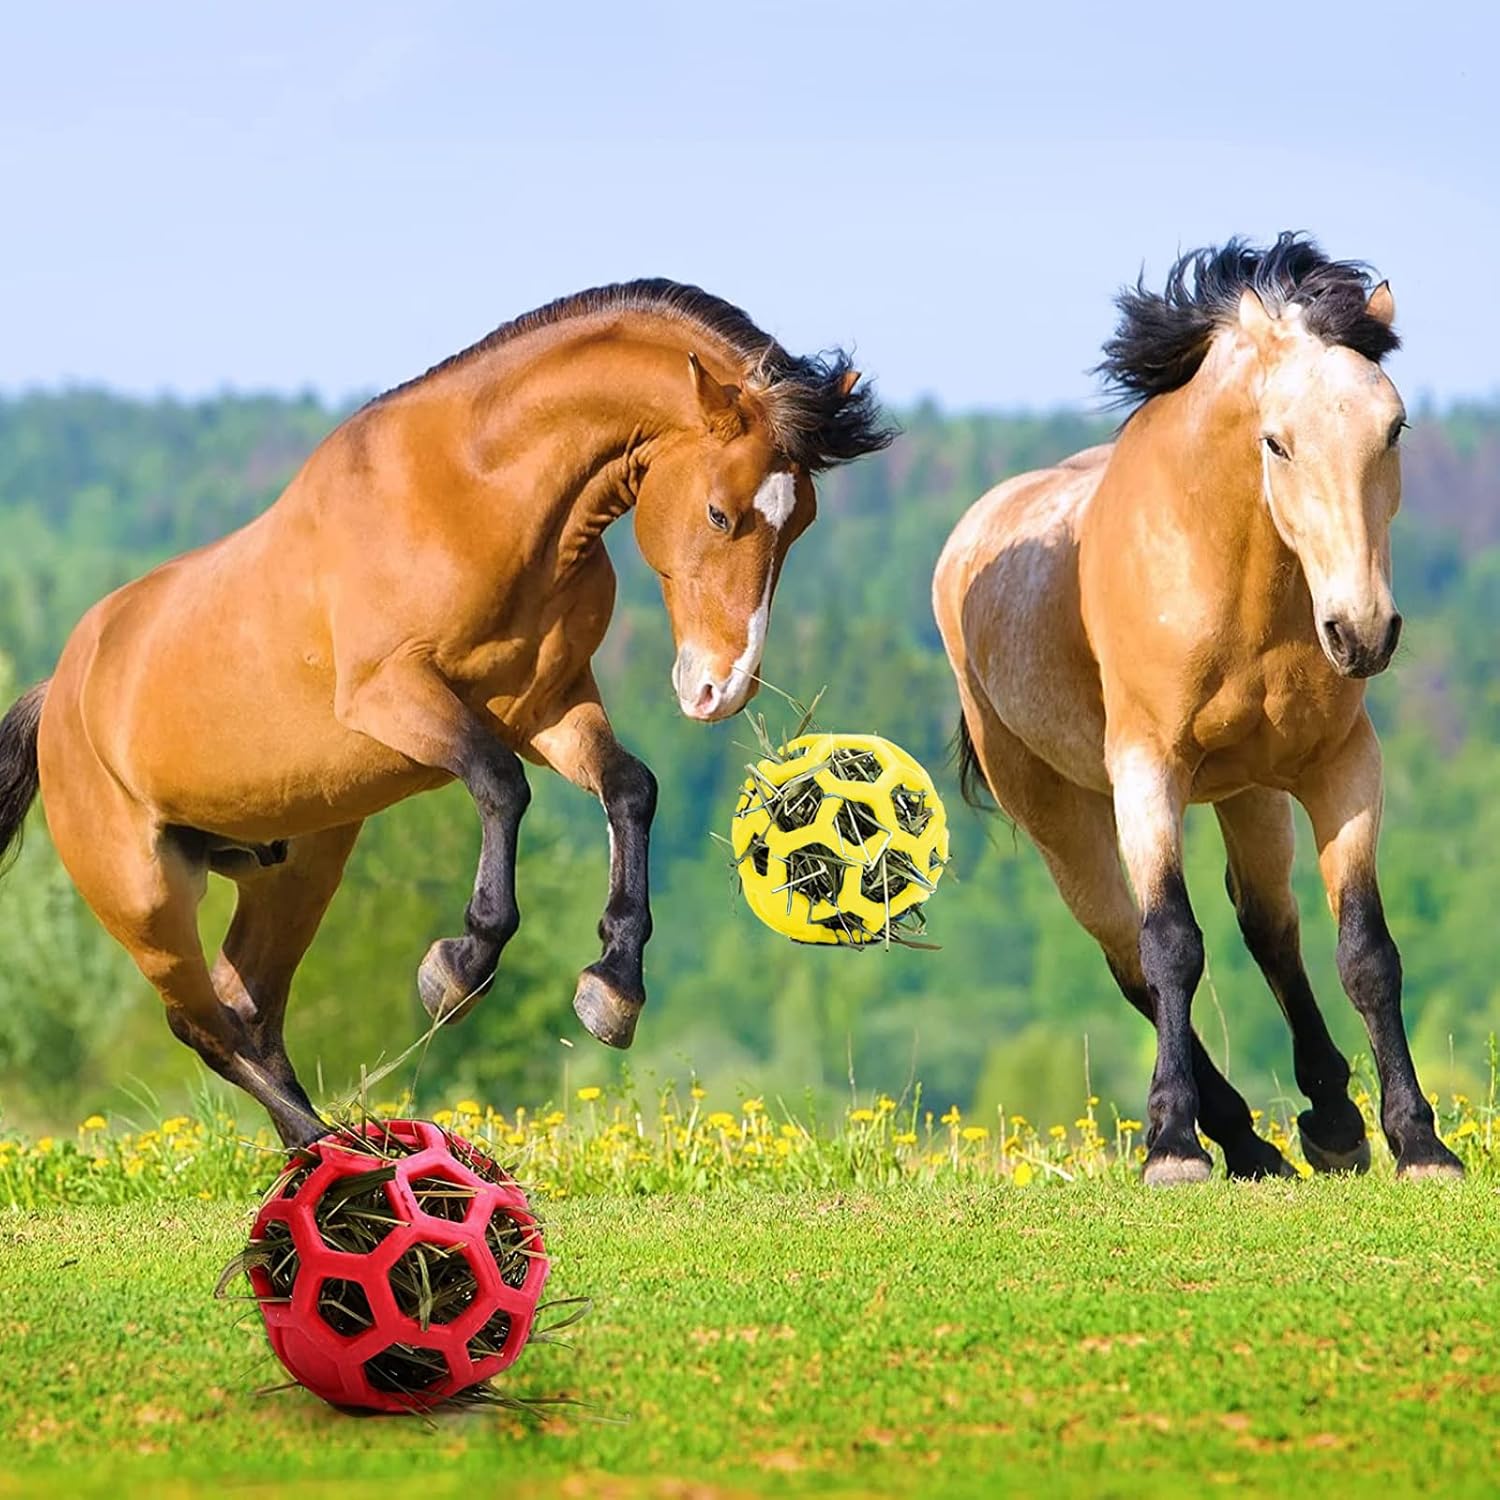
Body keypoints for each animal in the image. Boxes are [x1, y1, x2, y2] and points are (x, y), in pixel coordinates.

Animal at [0, 279, 893, 1146]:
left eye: (800, 521)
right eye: (718, 512)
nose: (720, 689)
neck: (476, 500)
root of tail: (58, 695)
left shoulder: (548, 706)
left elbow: (630, 789)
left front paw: (612, 988)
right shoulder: (395, 696)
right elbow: (501, 786)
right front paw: (459, 967)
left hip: (298, 868)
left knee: (247, 1004)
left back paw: (338, 1154)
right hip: (145, 900)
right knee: (201, 1025)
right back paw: (340, 1152)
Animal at [934, 234, 1463, 1185]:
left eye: (1394, 427)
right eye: (1276, 442)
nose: (1363, 632)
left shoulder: (1343, 766)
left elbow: (1366, 951)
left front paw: (1418, 1141)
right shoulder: (1149, 773)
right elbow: (1172, 944)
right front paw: (1173, 1145)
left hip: (1249, 793)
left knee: (1270, 927)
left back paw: (1326, 1121)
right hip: (1060, 818)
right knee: (1129, 956)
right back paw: (1238, 1135)